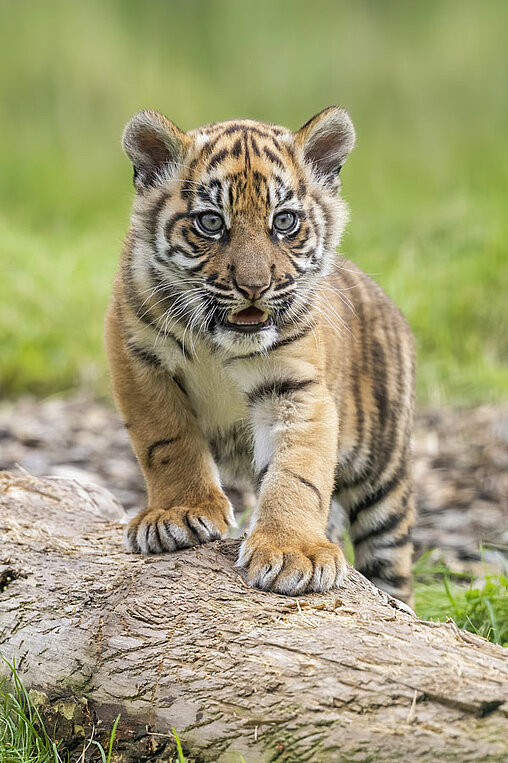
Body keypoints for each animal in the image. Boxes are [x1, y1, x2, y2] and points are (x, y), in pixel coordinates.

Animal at [105, 106, 416, 604]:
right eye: (211, 223)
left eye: (284, 221)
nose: (254, 287)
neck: (217, 340)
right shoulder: (137, 362)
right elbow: (168, 441)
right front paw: (178, 513)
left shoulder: (297, 386)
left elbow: (297, 474)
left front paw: (295, 552)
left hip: (383, 474)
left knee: (391, 558)